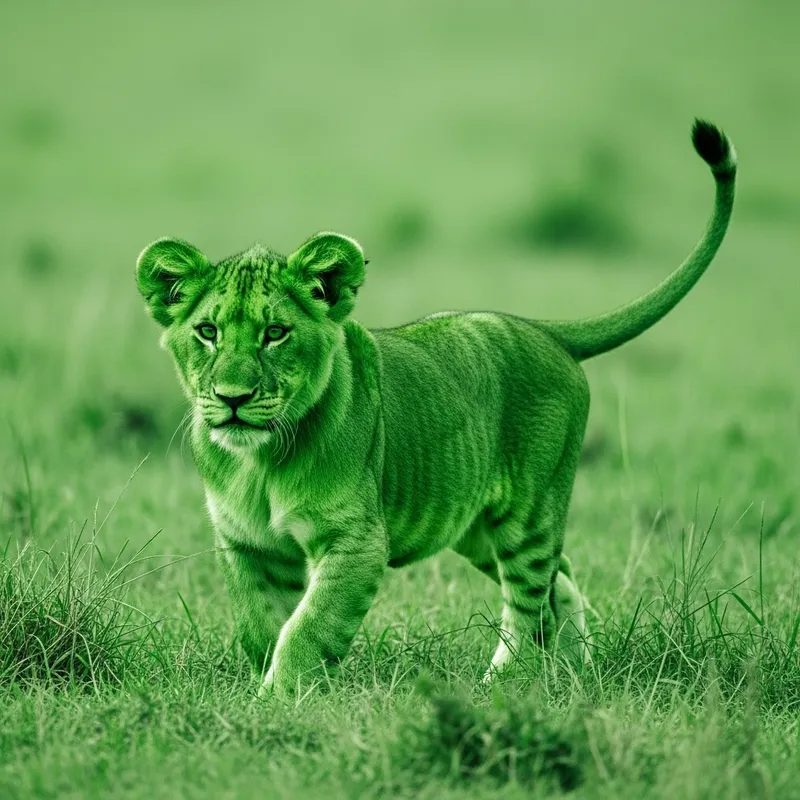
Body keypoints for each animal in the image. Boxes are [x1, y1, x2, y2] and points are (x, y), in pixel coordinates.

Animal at [135, 119, 735, 696]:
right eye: (208, 332)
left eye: (275, 333)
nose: (232, 399)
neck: (258, 462)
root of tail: (543, 330)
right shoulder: (248, 544)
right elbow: (263, 624)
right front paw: (267, 683)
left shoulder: (358, 541)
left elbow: (308, 627)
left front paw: (279, 699)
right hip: (474, 525)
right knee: (559, 581)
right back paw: (573, 674)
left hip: (528, 512)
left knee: (529, 600)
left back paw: (504, 683)